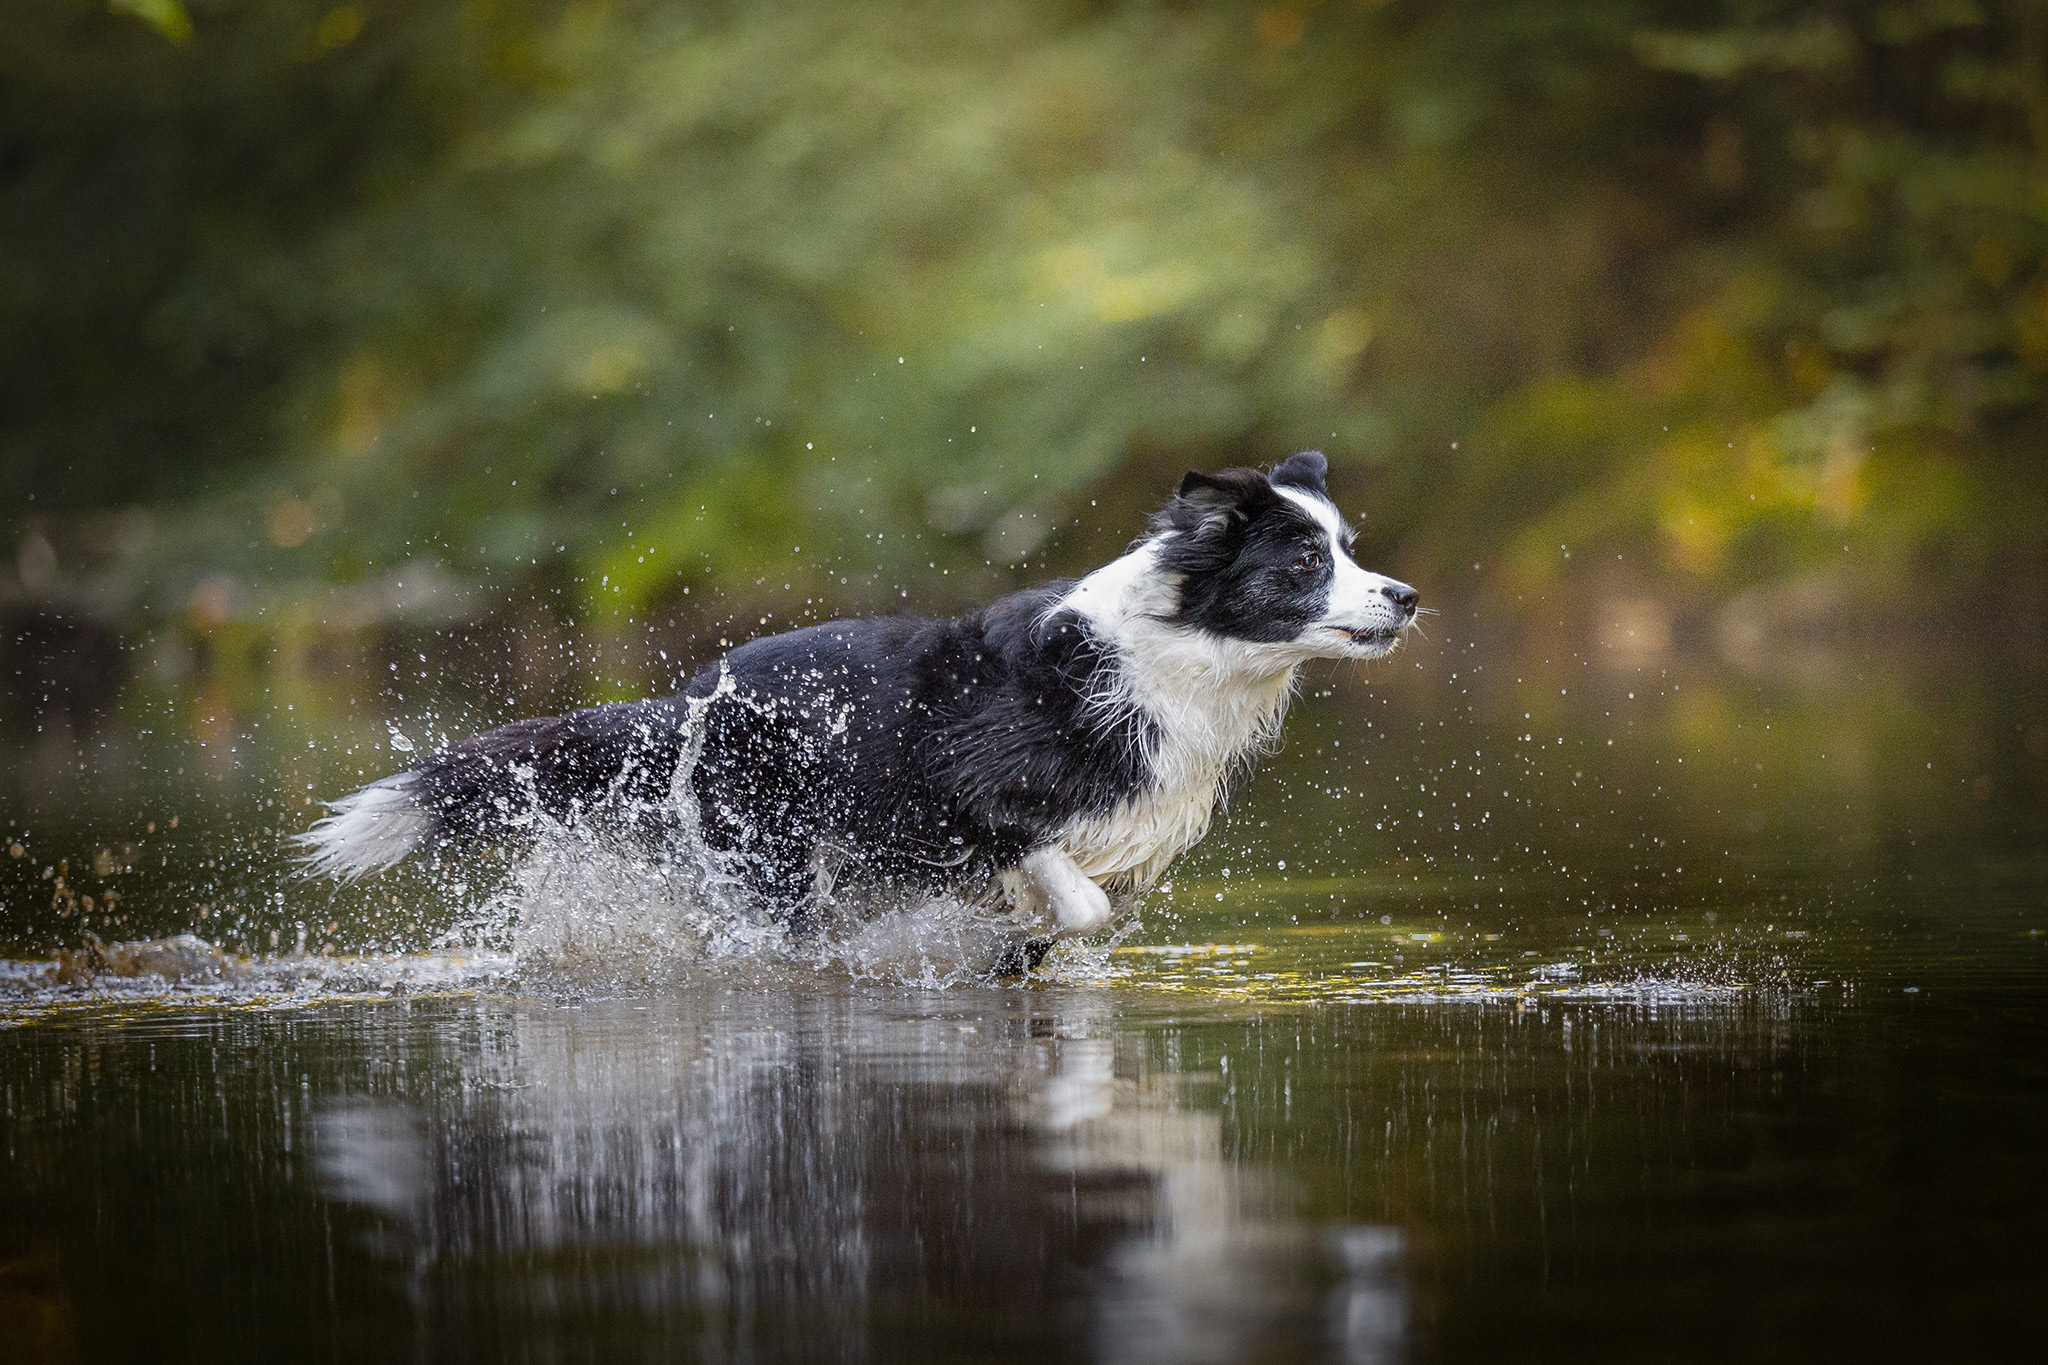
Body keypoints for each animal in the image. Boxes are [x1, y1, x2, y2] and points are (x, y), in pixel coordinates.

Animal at [303, 454, 1417, 957]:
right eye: (1305, 561)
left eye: (1349, 547)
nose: (1405, 596)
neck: (1171, 653)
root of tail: (690, 695)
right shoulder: (975, 799)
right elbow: (1079, 900)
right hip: (772, 857)